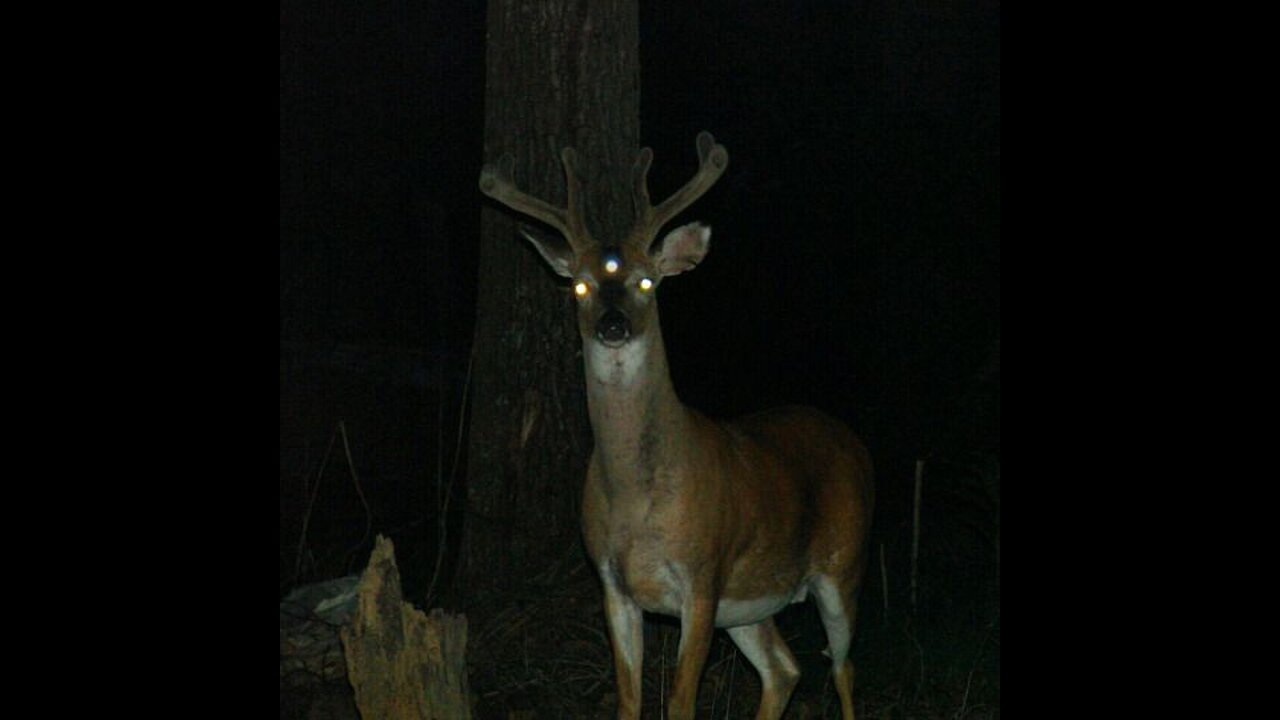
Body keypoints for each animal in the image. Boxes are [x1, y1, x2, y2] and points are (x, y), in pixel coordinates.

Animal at [478, 132, 874, 720]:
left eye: (647, 280)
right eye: (580, 286)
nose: (613, 325)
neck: (638, 501)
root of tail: (855, 444)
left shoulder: (703, 576)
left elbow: (680, 703)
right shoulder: (613, 586)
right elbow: (629, 700)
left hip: (842, 564)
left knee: (843, 668)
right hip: (751, 604)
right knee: (785, 669)